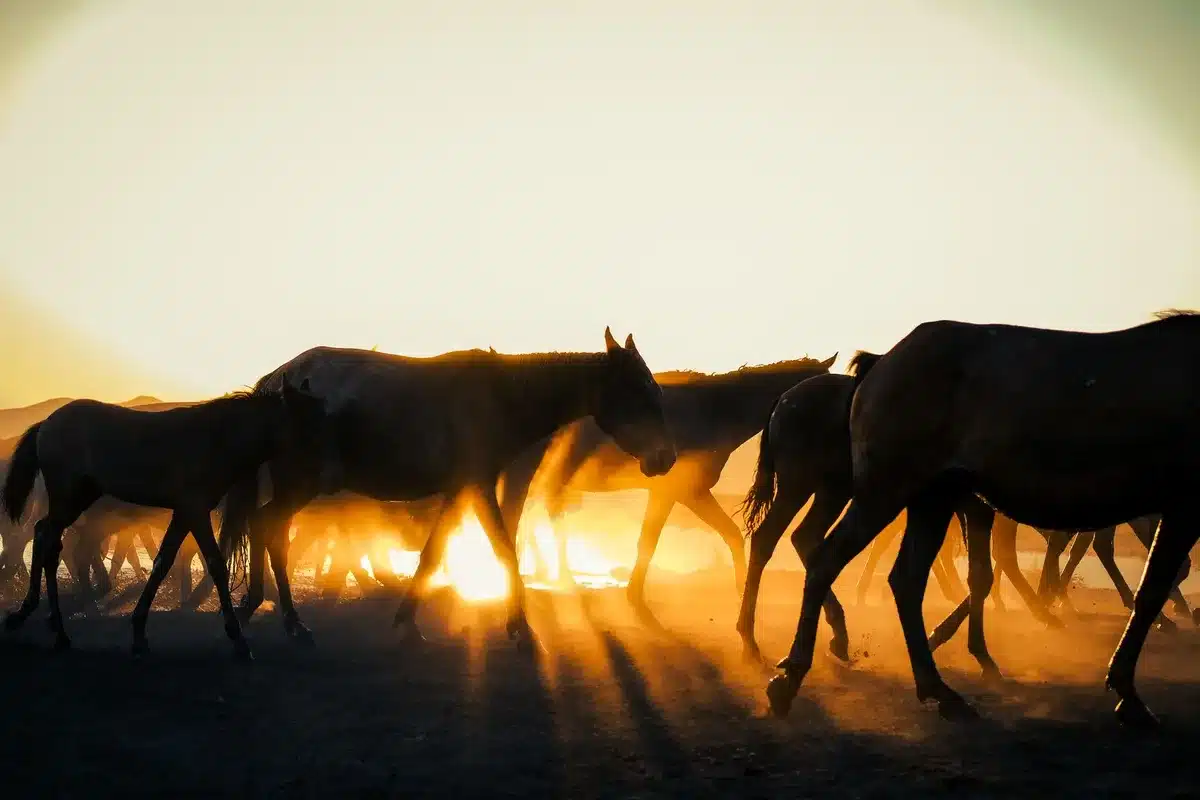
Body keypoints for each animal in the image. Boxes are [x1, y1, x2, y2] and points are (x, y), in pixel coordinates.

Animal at [1, 379, 326, 657]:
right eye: (306, 418)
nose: (319, 470)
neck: (215, 439)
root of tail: (47, 424)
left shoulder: (184, 513)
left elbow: (162, 562)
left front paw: (139, 632)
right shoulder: (195, 510)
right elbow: (215, 565)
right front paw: (238, 640)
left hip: (79, 499)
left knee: (47, 538)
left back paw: (48, 624)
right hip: (68, 498)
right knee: (46, 538)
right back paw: (42, 622)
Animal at [218, 328, 677, 652]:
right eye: (640, 393)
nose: (666, 459)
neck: (501, 395)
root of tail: (276, 382)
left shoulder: (461, 489)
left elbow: (433, 552)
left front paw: (408, 621)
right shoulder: (480, 484)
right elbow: (503, 548)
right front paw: (521, 628)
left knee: (265, 527)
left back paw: (267, 609)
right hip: (302, 483)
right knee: (268, 527)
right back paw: (289, 620)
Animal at [487, 355, 838, 614]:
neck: (712, 412)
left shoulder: (691, 493)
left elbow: (729, 535)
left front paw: (740, 590)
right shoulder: (675, 492)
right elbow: (651, 540)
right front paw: (634, 593)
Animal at [767, 311, 1200, 729]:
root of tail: (882, 363)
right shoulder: (1183, 506)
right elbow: (1151, 590)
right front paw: (1128, 694)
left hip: (933, 498)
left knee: (905, 579)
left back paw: (940, 688)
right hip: (884, 491)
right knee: (826, 560)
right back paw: (792, 675)